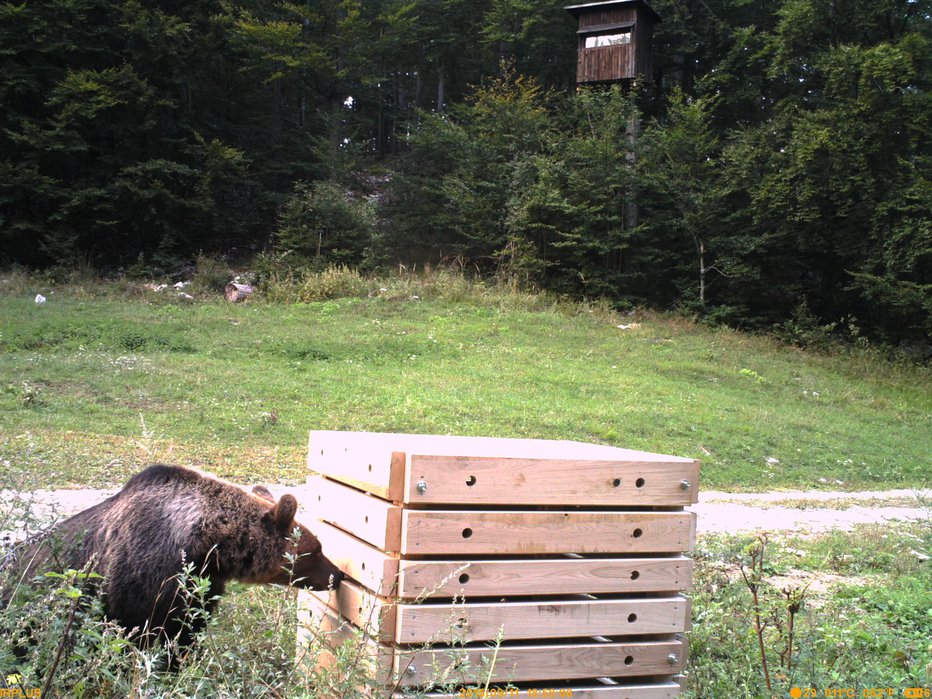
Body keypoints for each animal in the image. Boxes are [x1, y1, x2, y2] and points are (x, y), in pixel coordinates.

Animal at [5, 464, 344, 656]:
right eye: (317, 549)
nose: (338, 575)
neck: (209, 547)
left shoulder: (200, 587)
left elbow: (185, 637)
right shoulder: (138, 586)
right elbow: (133, 639)